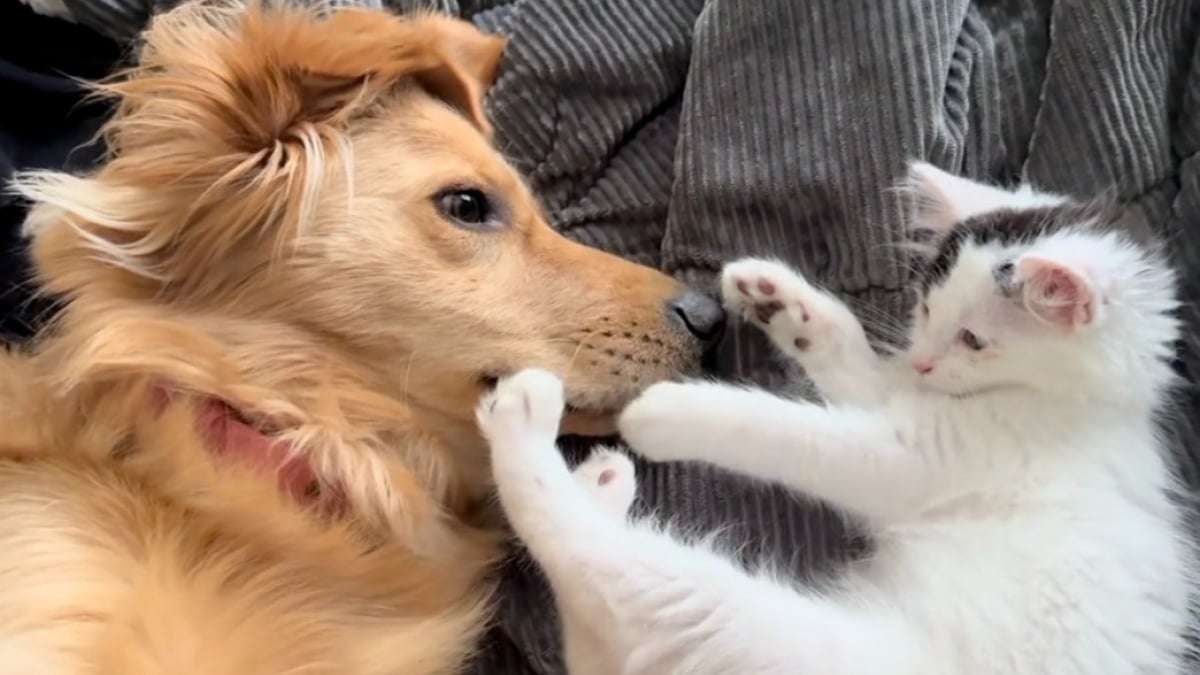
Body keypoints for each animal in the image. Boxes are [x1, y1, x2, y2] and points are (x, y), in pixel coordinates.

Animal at [472, 164, 1195, 672]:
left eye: (974, 339)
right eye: (926, 309)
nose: (924, 361)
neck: (1080, 408)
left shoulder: (921, 455)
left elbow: (797, 431)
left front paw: (673, 409)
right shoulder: (899, 400)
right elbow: (853, 362)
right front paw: (781, 302)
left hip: (745, 629)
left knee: (592, 564)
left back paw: (526, 416)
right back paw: (601, 484)